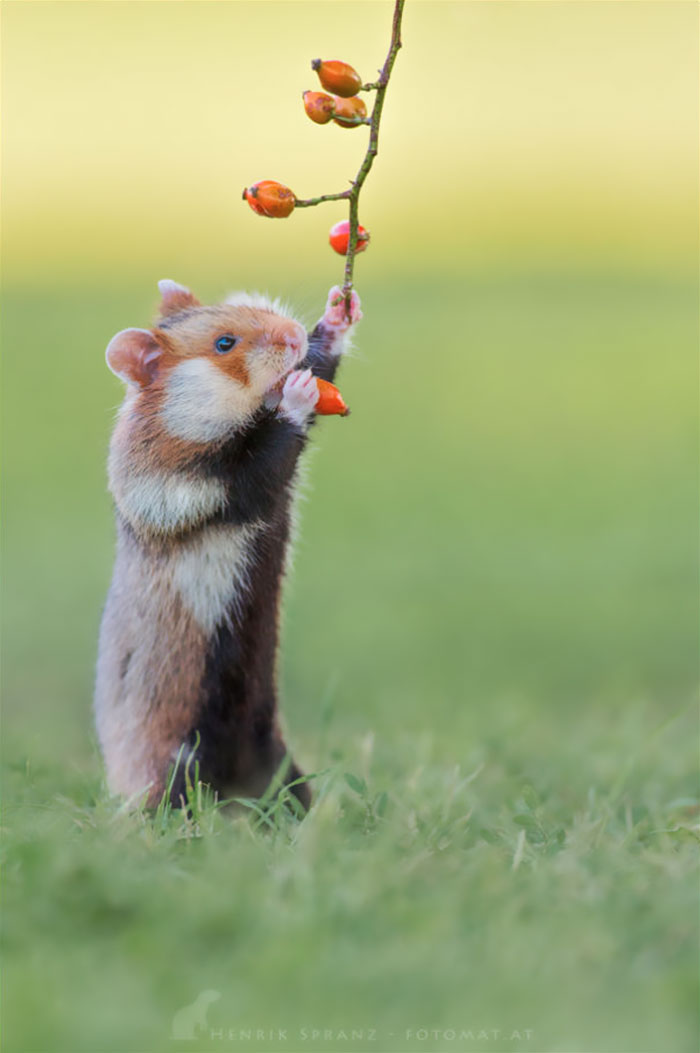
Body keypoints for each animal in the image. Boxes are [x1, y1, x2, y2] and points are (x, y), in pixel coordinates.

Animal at [95, 279, 362, 811]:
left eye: (252, 309)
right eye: (224, 343)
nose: (292, 334)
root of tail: (232, 788)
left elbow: (318, 369)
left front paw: (339, 312)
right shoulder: (207, 489)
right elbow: (272, 450)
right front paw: (297, 394)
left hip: (276, 758)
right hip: (173, 764)